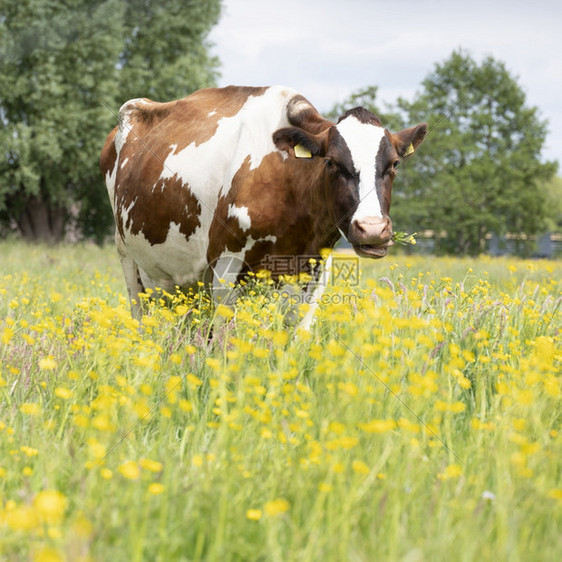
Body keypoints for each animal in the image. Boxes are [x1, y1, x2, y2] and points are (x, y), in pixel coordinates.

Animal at [99, 86, 424, 326]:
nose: (372, 229)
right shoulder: (225, 268)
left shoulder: (314, 276)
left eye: (394, 164)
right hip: (130, 261)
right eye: (331, 162)